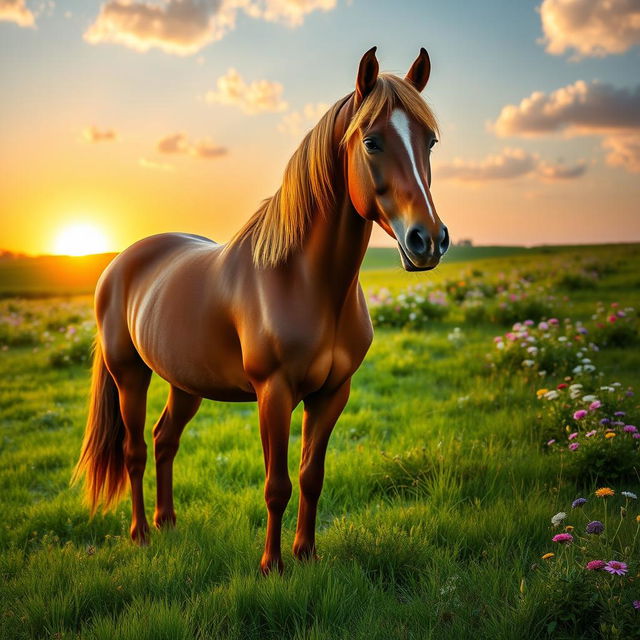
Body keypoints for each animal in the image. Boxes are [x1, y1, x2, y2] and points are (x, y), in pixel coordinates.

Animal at [72, 47, 448, 572]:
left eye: (429, 142)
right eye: (372, 142)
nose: (428, 240)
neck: (305, 283)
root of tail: (118, 264)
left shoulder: (332, 394)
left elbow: (311, 476)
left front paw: (306, 554)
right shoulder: (274, 393)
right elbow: (277, 485)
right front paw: (272, 565)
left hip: (185, 382)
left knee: (166, 440)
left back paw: (168, 523)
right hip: (129, 375)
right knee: (134, 450)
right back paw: (141, 534)